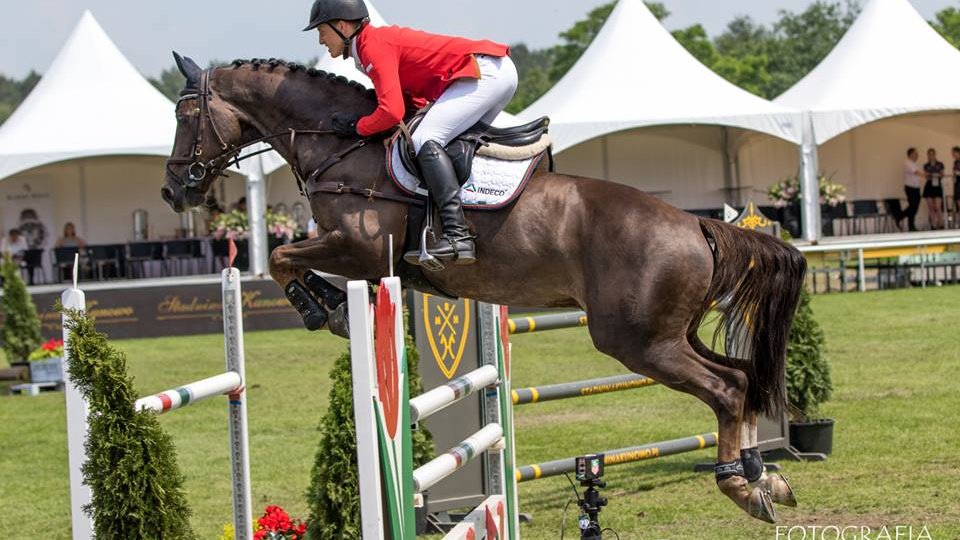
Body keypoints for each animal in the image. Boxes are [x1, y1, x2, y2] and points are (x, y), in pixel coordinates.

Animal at [161, 56, 808, 524]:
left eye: (184, 115)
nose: (174, 192)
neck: (342, 146)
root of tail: (697, 225)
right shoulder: (356, 254)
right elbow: (285, 258)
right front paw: (331, 307)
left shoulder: (361, 249)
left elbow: (280, 257)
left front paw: (327, 311)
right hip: (671, 333)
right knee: (743, 377)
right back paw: (764, 476)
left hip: (638, 341)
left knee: (726, 388)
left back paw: (742, 487)